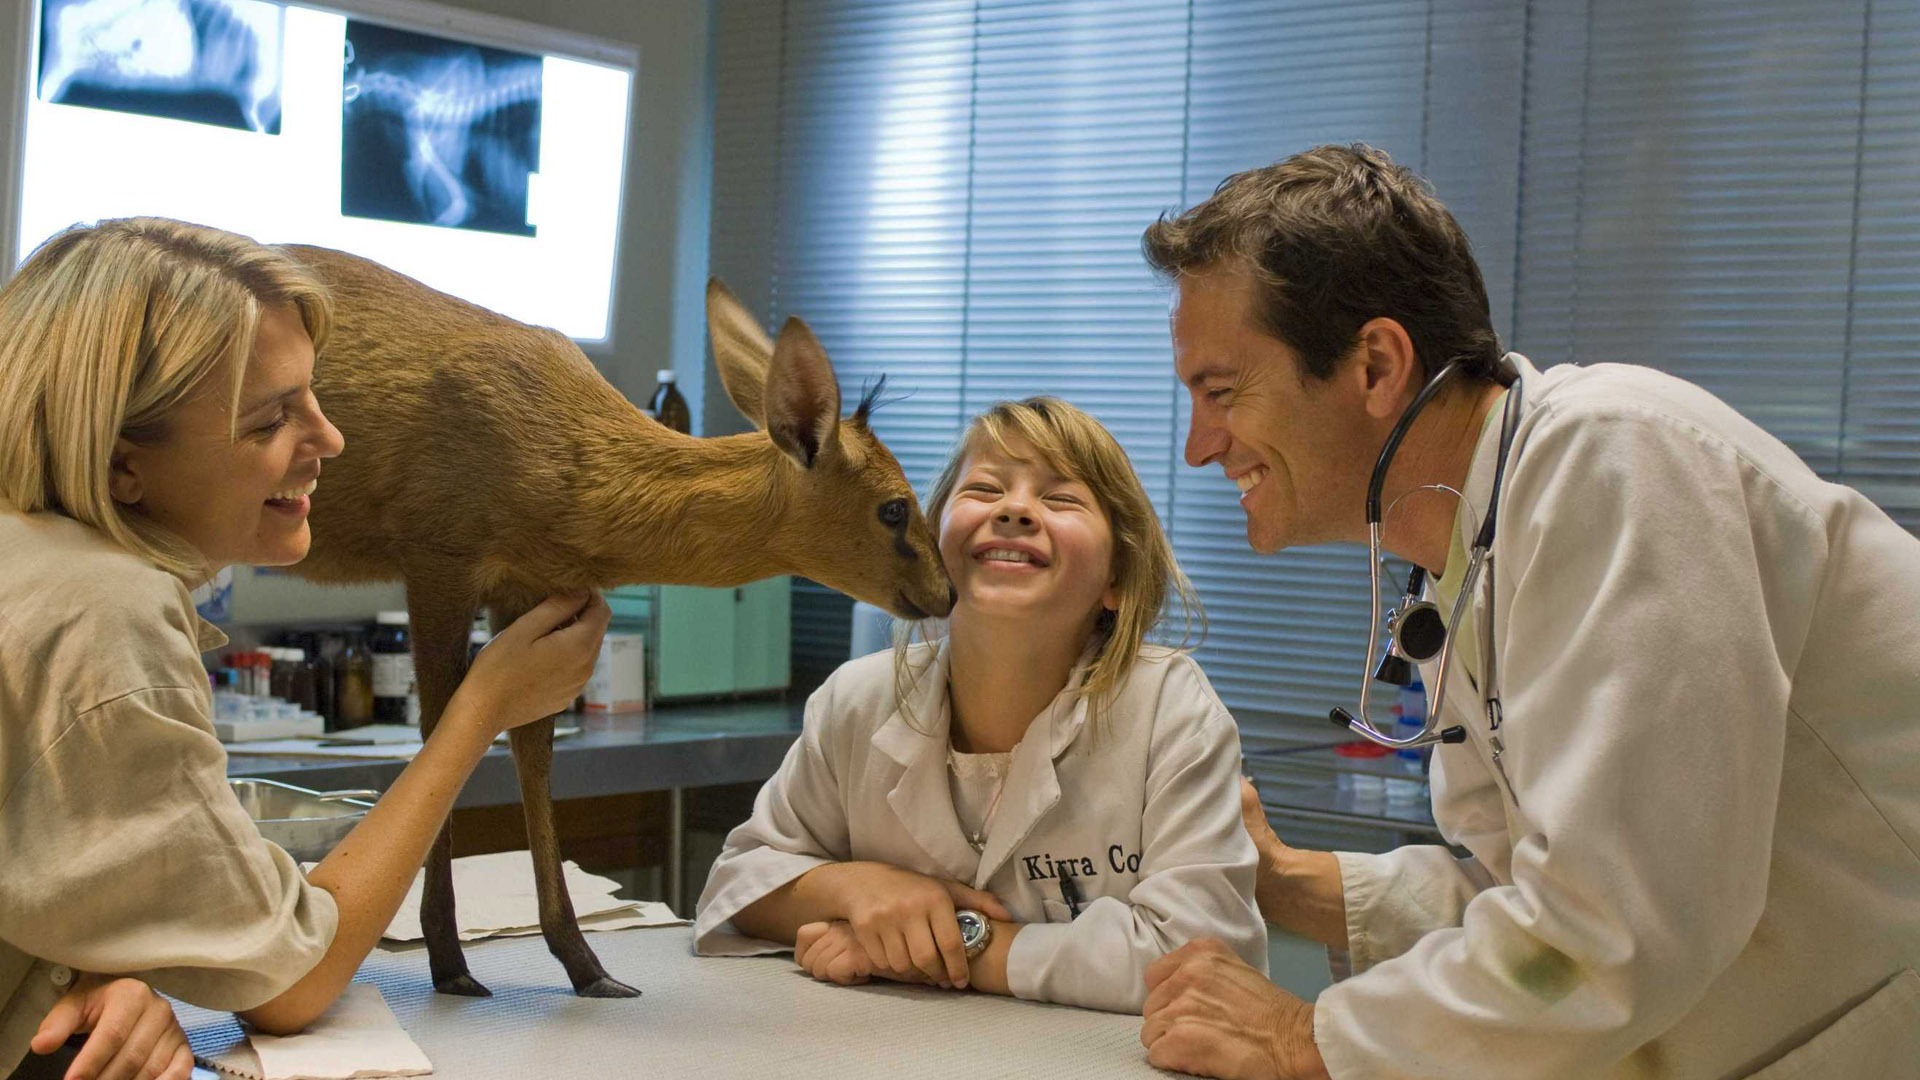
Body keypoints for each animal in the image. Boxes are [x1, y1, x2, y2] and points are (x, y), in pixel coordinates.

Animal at [284, 247, 952, 999]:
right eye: (894, 507)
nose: (948, 592)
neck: (575, 487)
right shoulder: (437, 553)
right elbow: (440, 733)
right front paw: (451, 963)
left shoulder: (532, 584)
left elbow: (532, 748)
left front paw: (587, 966)